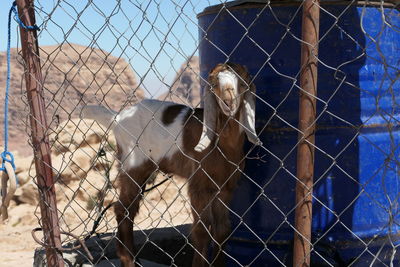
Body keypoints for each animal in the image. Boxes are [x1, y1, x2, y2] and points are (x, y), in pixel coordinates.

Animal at [82, 63, 262, 267]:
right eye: (214, 84)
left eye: (242, 83)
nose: (228, 101)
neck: (222, 144)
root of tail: (118, 118)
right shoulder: (198, 185)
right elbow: (202, 229)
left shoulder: (224, 188)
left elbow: (222, 229)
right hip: (133, 164)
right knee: (123, 209)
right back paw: (129, 261)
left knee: (128, 209)